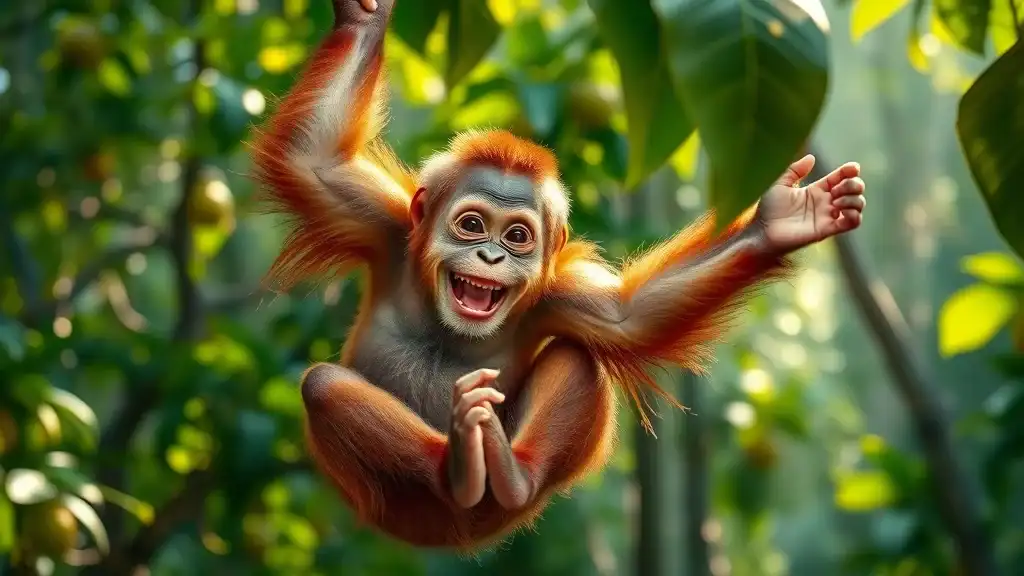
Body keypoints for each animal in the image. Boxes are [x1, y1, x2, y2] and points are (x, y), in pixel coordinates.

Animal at [250, 0, 866, 552]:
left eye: (517, 236)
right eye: (472, 225)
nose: (491, 257)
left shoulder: (559, 296)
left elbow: (627, 318)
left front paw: (782, 220)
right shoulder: (379, 221)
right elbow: (314, 160)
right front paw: (364, 17)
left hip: (499, 506)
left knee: (578, 357)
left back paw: (508, 470)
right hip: (400, 506)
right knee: (324, 387)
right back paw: (457, 466)